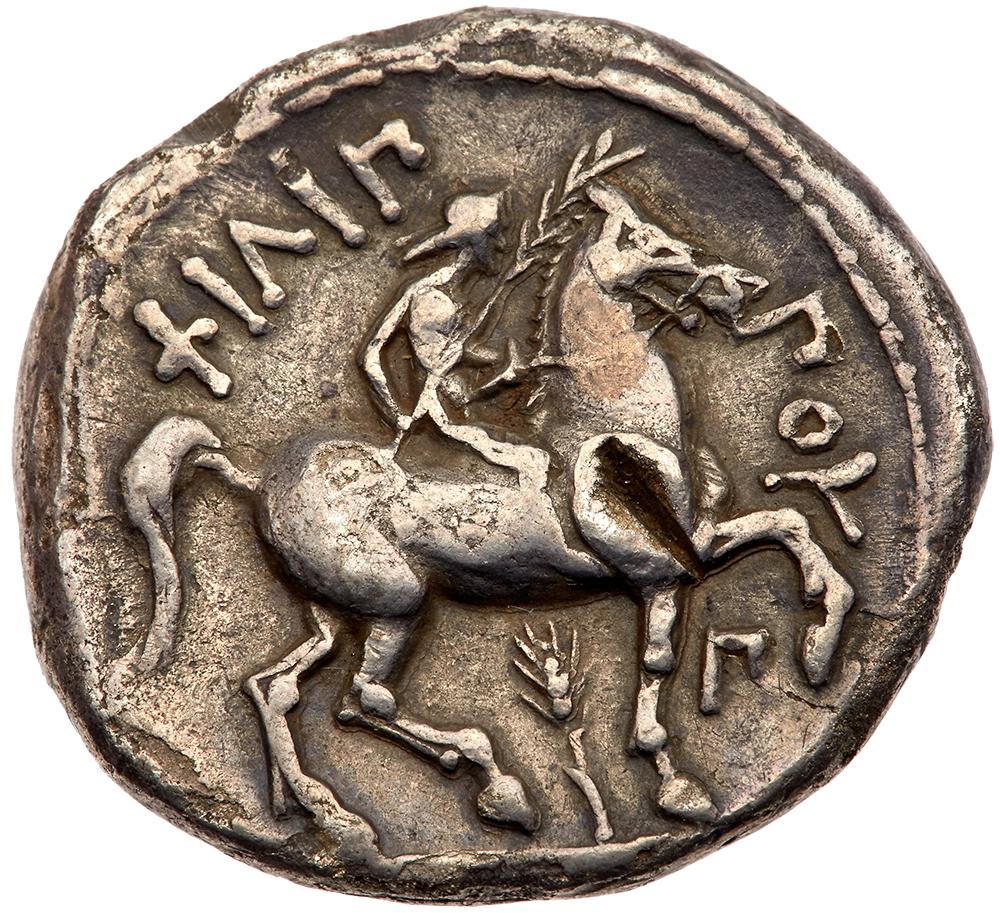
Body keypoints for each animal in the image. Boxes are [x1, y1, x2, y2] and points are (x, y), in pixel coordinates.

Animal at [118, 180, 854, 847]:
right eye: (646, 240)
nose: (740, 281)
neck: (615, 415)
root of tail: (253, 478)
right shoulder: (656, 572)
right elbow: (657, 659)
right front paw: (676, 784)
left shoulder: (693, 543)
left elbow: (791, 524)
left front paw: (819, 644)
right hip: (397, 602)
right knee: (362, 699)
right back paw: (491, 785)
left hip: (333, 611)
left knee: (274, 689)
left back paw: (319, 811)